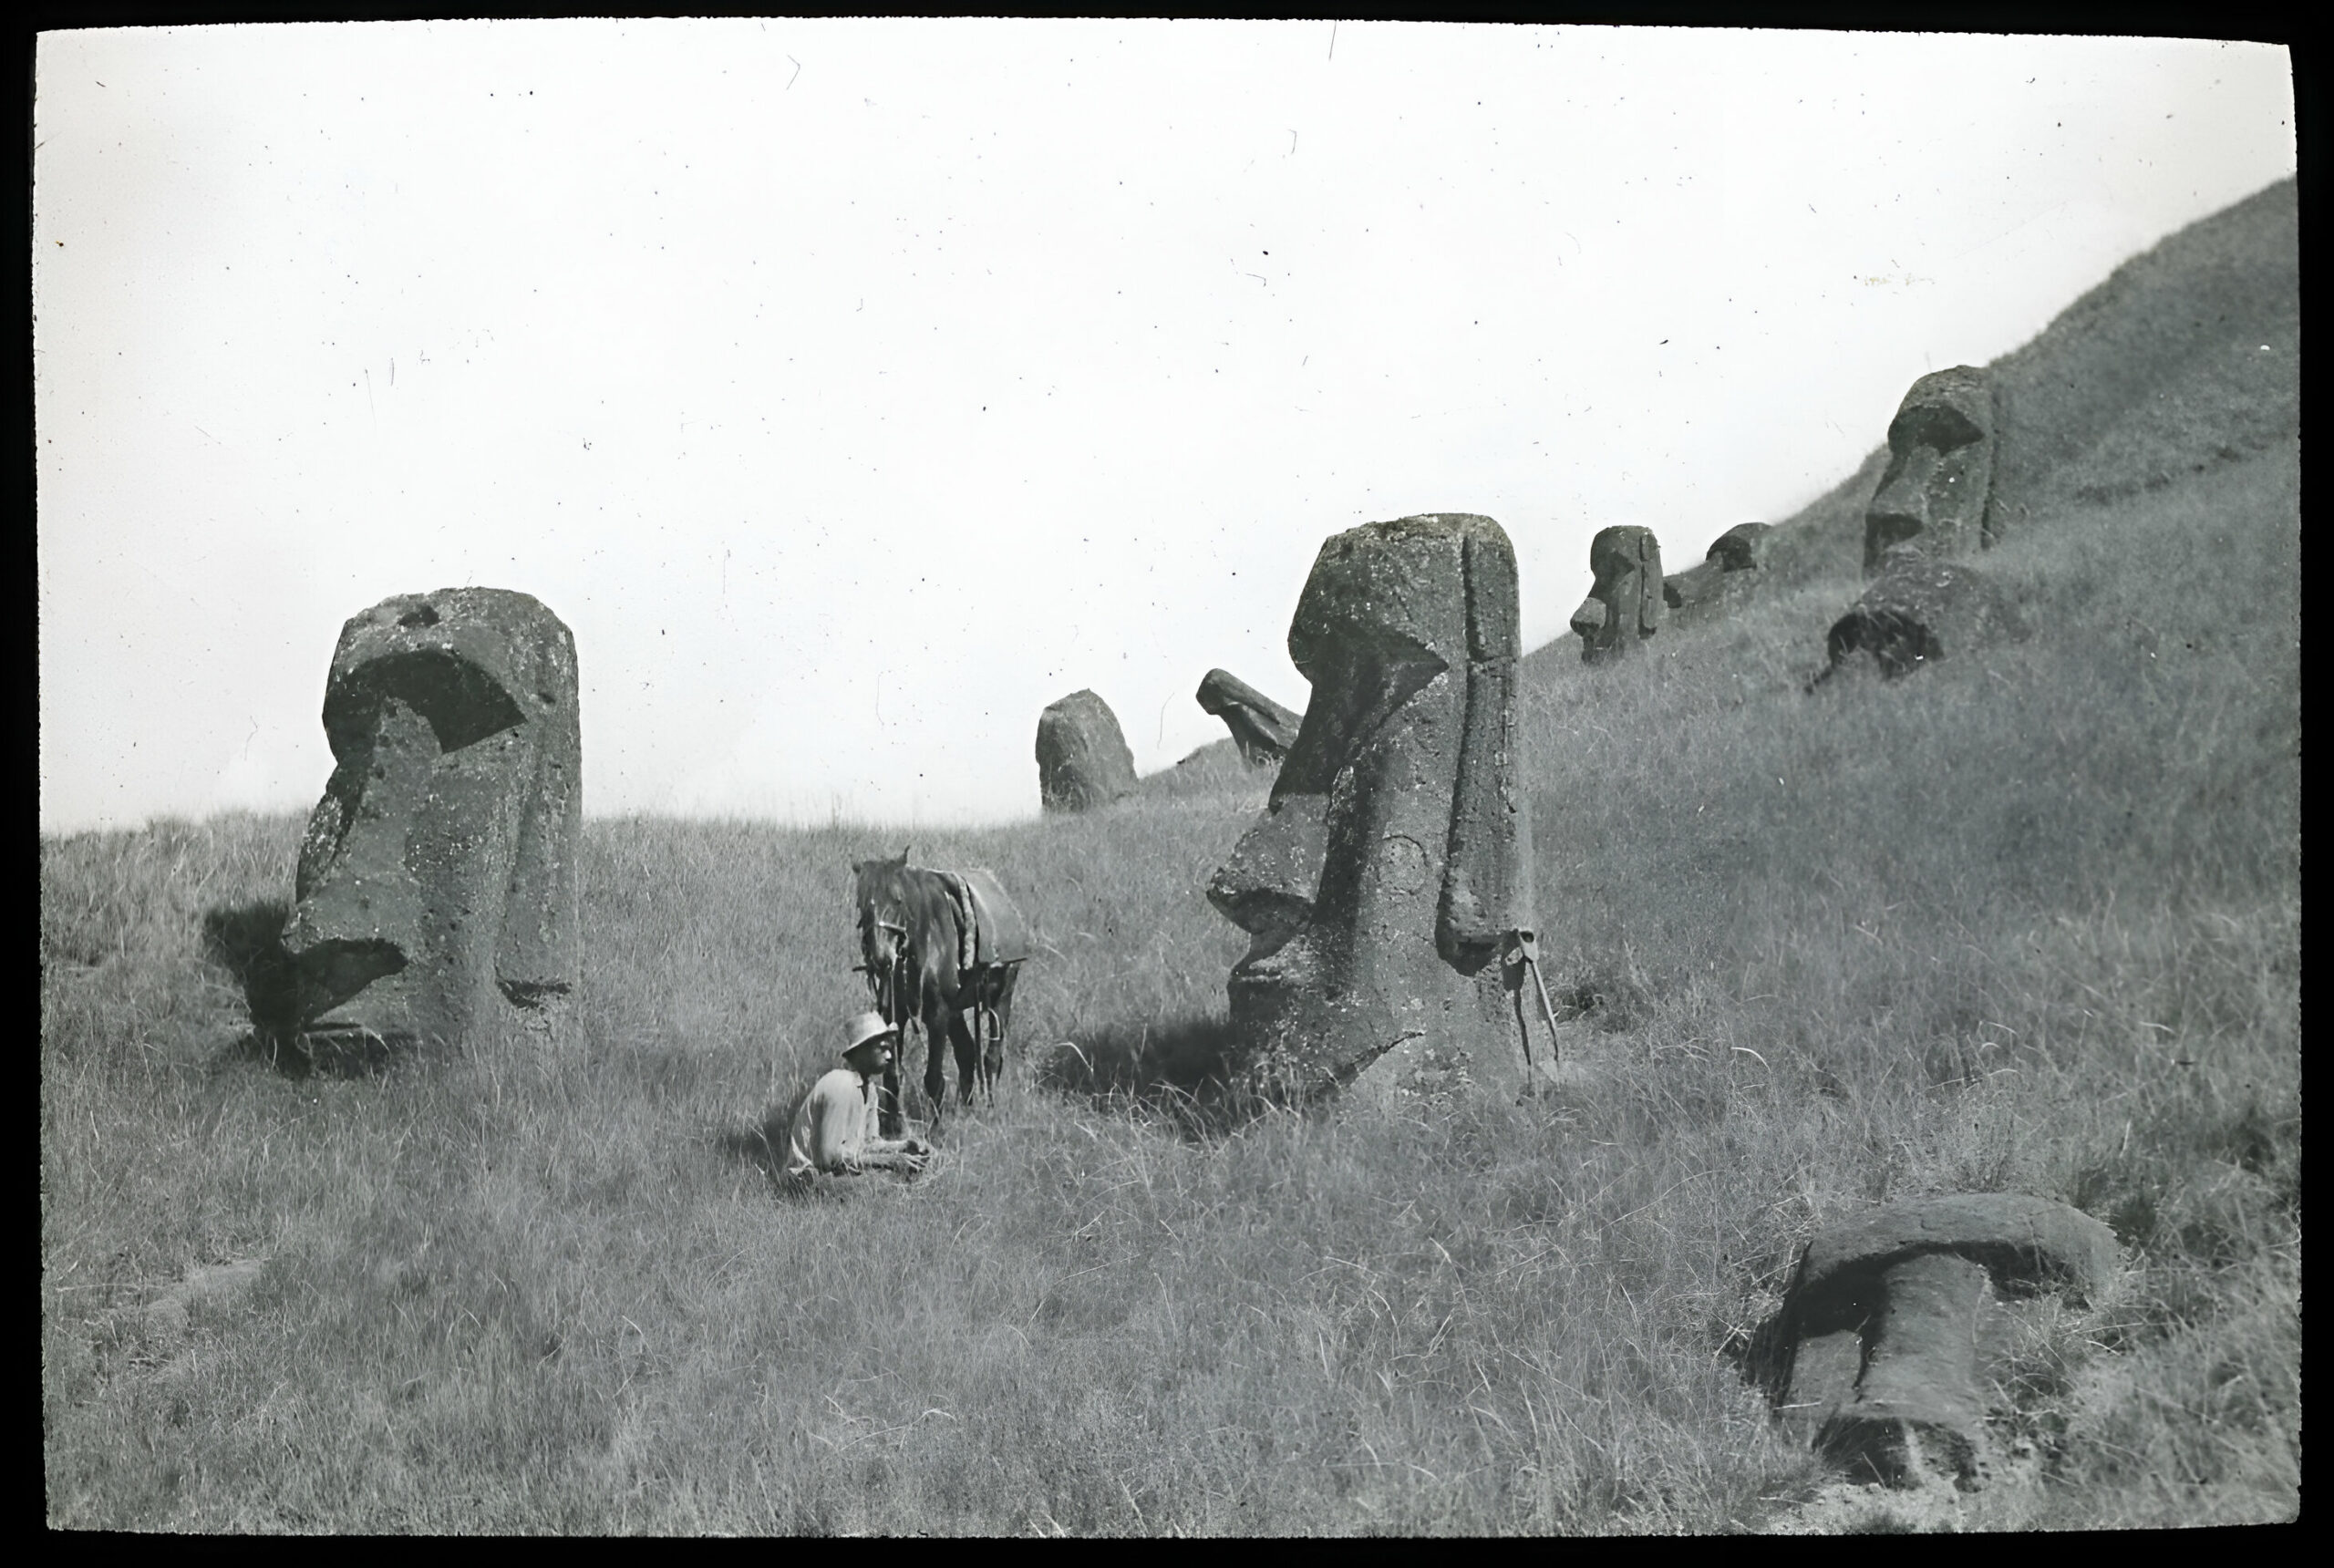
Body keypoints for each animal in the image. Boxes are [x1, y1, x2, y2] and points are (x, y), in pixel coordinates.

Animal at [840, 849, 1022, 1133]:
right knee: (967, 1054)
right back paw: (966, 1108)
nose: (881, 959)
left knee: (991, 1058)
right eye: (862, 904)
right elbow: (893, 1074)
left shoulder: (938, 1017)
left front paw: (936, 1130)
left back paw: (989, 1108)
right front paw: (896, 1126)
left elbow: (933, 1077)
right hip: (956, 1012)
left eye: (898, 900)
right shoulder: (897, 1015)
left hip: (1000, 998)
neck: (924, 944)